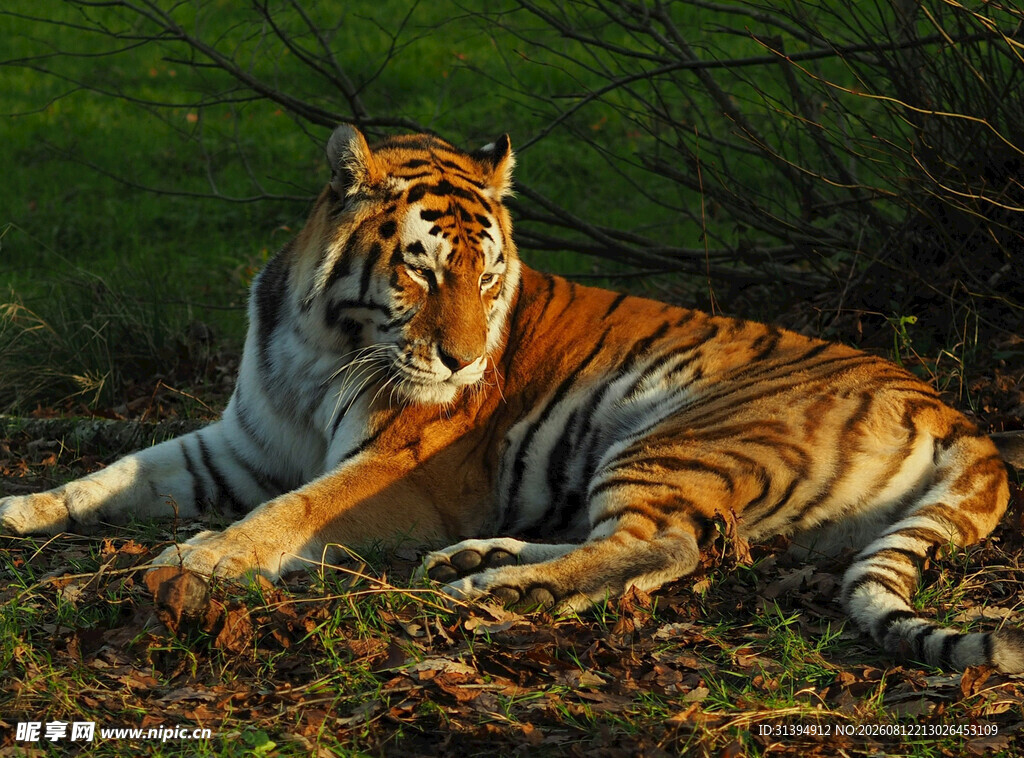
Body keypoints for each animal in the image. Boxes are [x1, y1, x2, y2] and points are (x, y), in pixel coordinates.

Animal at [2, 125, 1023, 673]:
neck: (315, 346)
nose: (460, 366)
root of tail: (951, 410)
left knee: (665, 546)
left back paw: (497, 584)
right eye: (420, 268)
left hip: (676, 436)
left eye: (488, 277)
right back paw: (480, 560)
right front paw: (20, 506)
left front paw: (204, 562)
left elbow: (293, 512)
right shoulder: (237, 446)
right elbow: (110, 473)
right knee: (645, 545)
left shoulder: (399, 472)